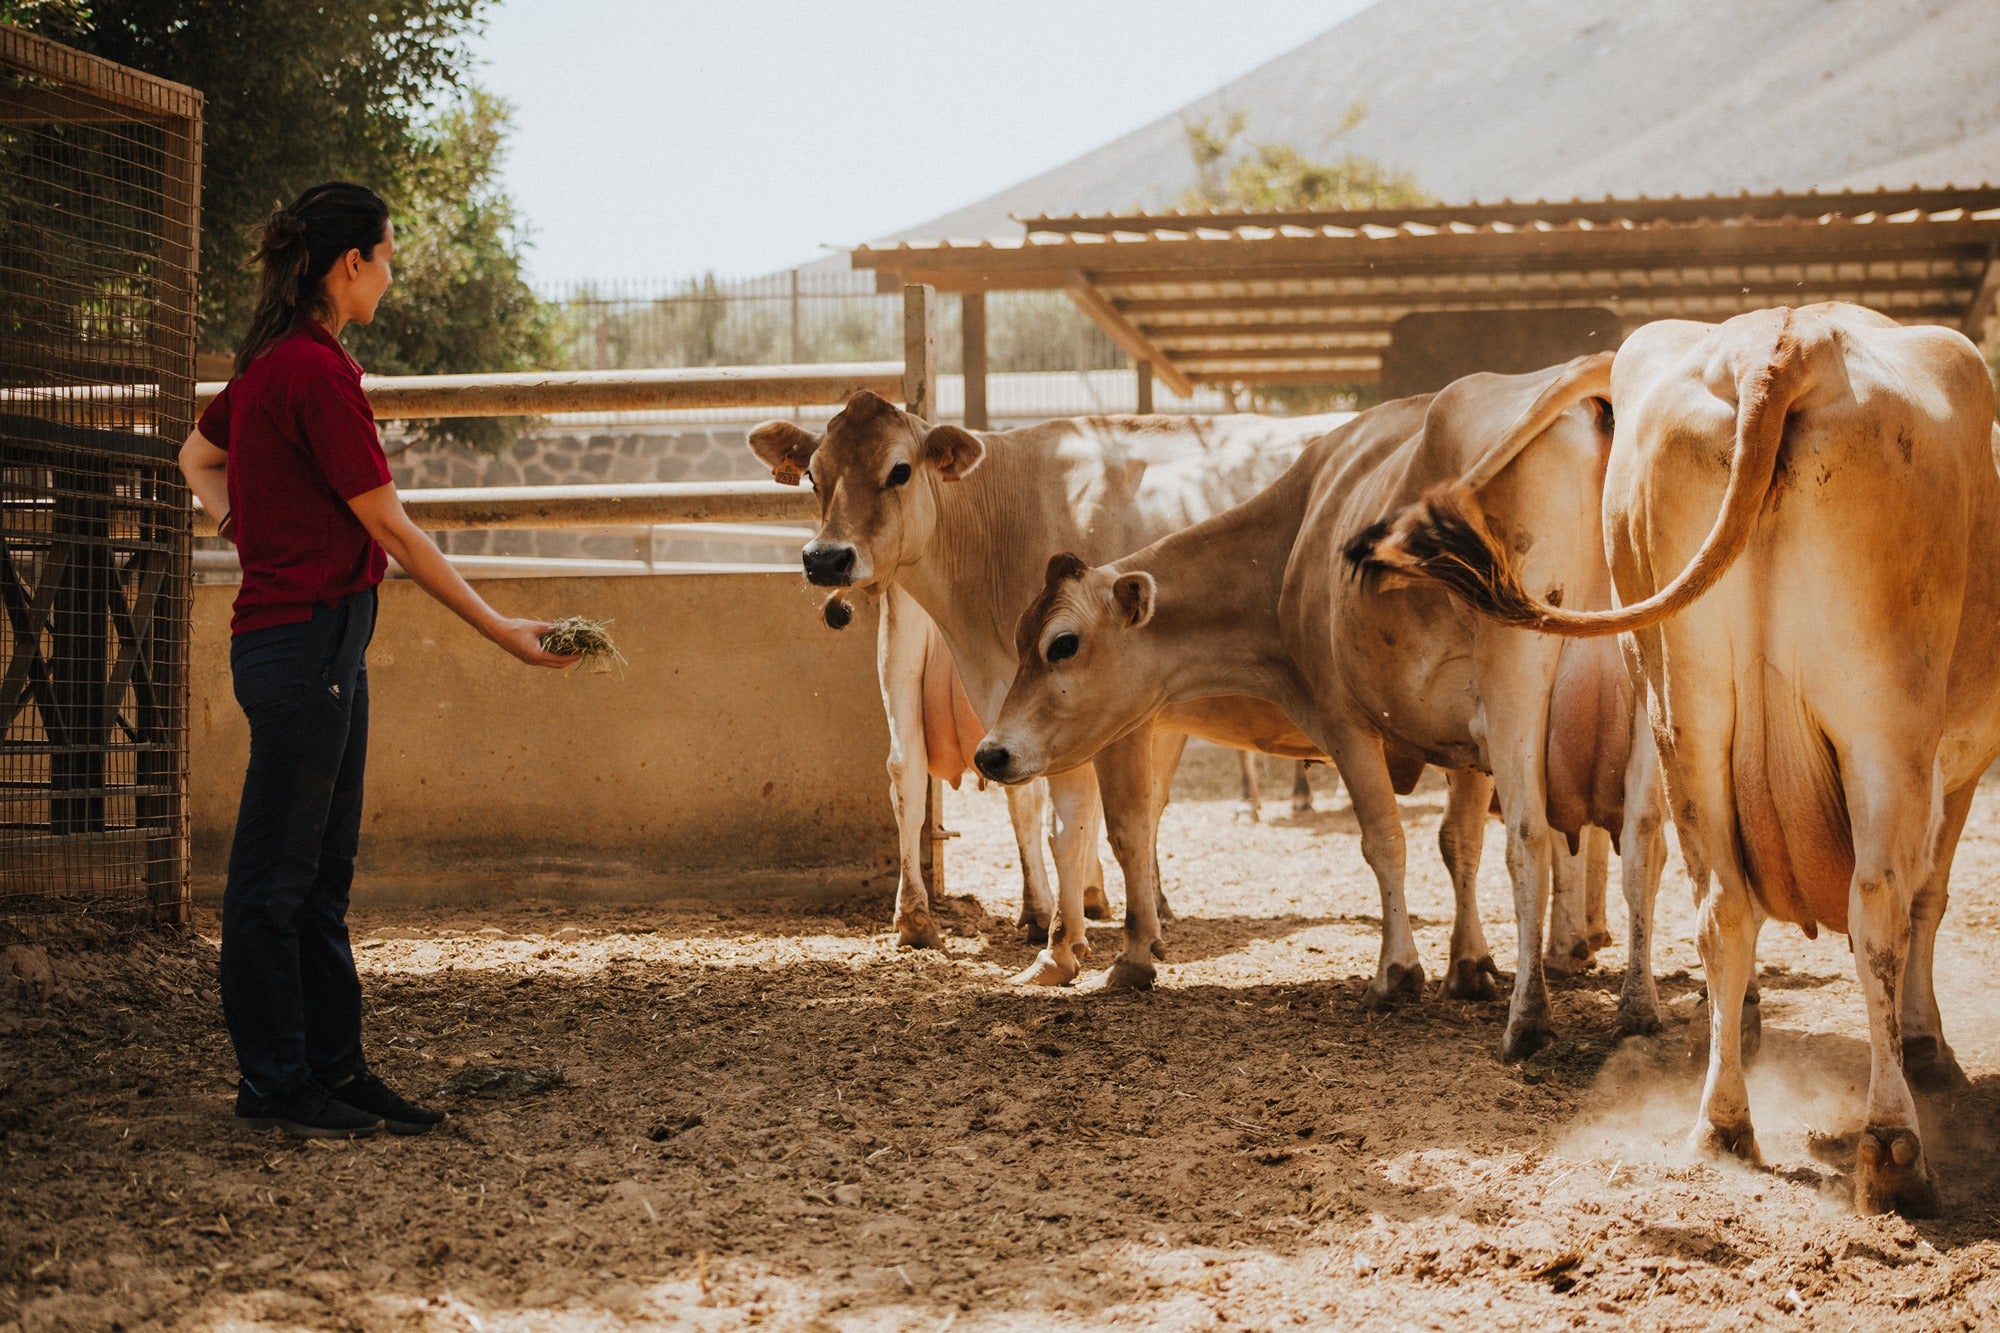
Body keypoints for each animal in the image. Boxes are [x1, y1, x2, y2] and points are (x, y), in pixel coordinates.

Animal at [1360, 304, 2000, 1216]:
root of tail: (1785, 340)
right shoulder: (1960, 763)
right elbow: (1928, 899)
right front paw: (1926, 1043)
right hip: (1882, 721)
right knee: (1879, 905)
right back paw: (1893, 1149)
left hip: (1680, 710)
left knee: (1717, 903)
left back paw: (1719, 1120)